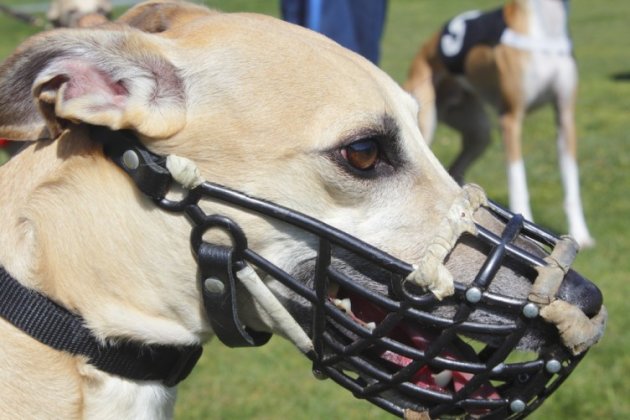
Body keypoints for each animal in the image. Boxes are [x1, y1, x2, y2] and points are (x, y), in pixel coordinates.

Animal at [404, 0, 596, 249]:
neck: (546, 28)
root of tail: (424, 48)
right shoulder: (511, 119)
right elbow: (518, 179)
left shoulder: (565, 118)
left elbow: (571, 182)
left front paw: (580, 234)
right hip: (424, 125)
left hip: (479, 133)